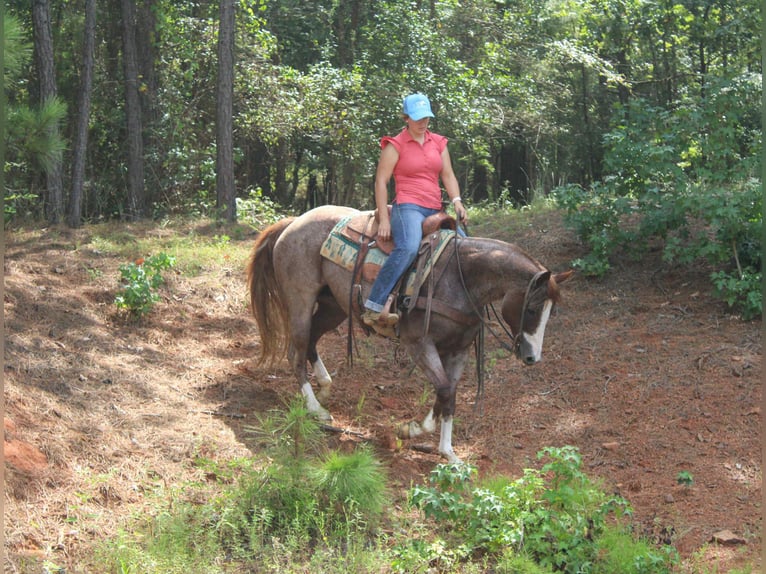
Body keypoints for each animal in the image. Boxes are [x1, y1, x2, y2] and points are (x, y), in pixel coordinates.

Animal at [247, 205, 573, 463]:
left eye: (550, 311)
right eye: (531, 309)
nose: (532, 357)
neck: (461, 278)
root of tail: (294, 222)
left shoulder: (458, 350)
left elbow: (448, 394)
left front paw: (447, 452)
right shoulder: (418, 343)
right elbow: (443, 390)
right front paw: (415, 431)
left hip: (333, 306)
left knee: (312, 342)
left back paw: (325, 388)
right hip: (300, 300)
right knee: (297, 351)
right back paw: (316, 408)